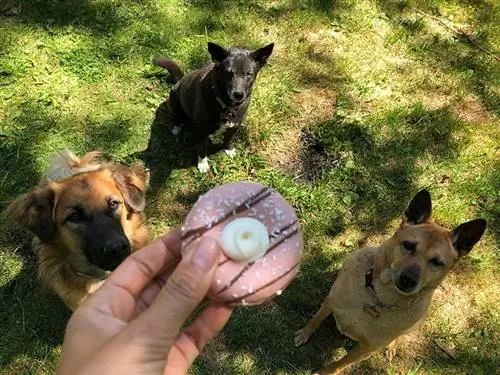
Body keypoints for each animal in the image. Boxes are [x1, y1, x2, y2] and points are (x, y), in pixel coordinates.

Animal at [155, 41, 276, 173]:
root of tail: (180, 80)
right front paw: (203, 163)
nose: (238, 94)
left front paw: (228, 149)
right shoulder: (203, 130)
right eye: (229, 72)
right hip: (175, 103)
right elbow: (202, 148)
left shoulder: (235, 127)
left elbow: (228, 139)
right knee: (176, 117)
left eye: (249, 74)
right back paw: (176, 126)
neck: (227, 106)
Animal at [294, 192, 486, 374]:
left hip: (415, 324)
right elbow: (316, 319)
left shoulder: (366, 350)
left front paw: (324, 372)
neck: (377, 298)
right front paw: (304, 334)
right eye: (408, 245)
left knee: (400, 337)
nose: (408, 280)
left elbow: (339, 364)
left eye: (437, 262)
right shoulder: (330, 302)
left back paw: (392, 347)